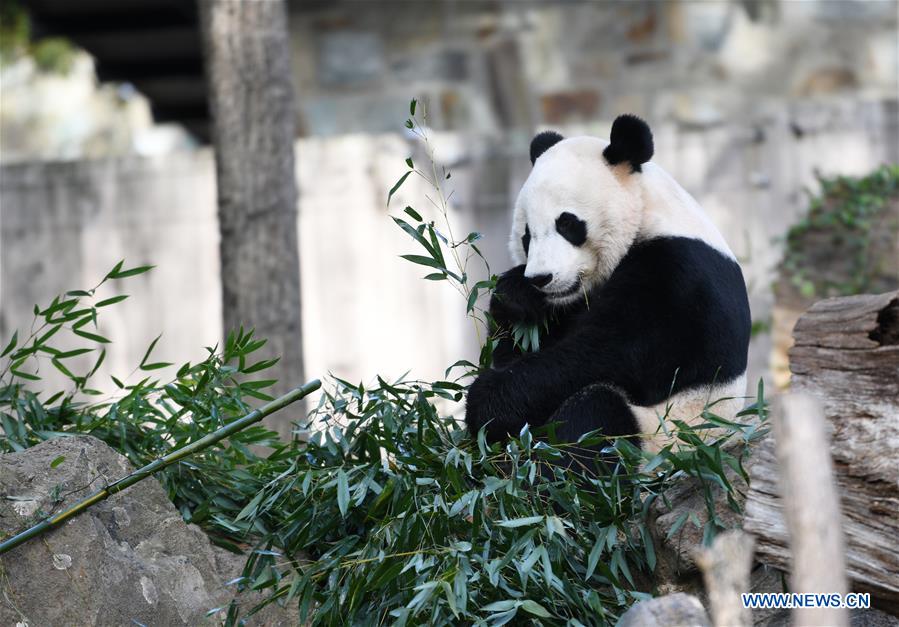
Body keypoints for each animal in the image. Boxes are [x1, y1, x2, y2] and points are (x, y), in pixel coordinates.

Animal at [464, 115, 752, 464]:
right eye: (527, 235)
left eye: (567, 223)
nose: (541, 278)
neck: (647, 214)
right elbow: (519, 343)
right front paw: (517, 296)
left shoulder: (680, 278)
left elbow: (612, 355)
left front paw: (485, 402)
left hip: (670, 436)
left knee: (597, 415)